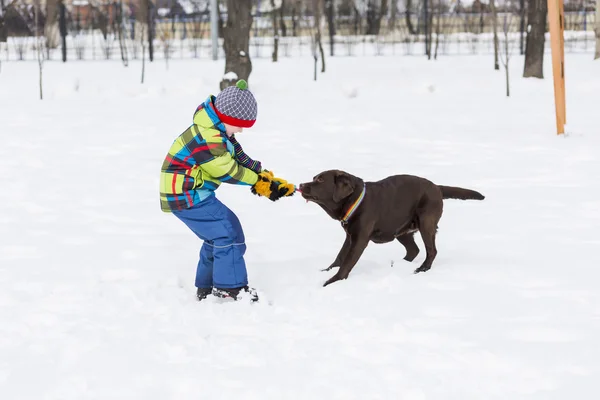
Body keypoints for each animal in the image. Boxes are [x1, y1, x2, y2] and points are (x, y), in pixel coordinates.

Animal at [298, 170, 486, 286]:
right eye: (314, 178)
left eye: (320, 180)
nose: (300, 184)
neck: (355, 200)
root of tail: (437, 188)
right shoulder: (350, 235)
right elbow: (340, 256)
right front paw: (326, 271)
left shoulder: (360, 238)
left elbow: (347, 262)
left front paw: (331, 282)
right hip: (401, 230)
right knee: (414, 250)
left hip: (426, 223)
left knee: (431, 250)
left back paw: (422, 269)